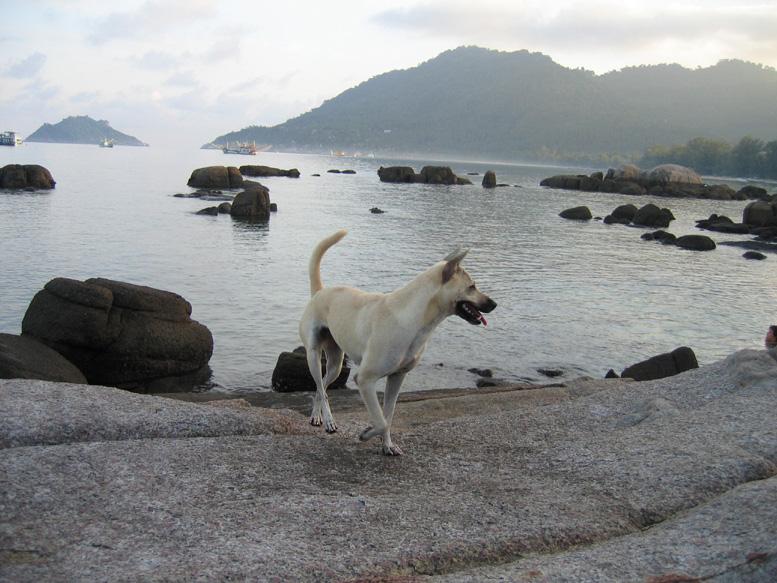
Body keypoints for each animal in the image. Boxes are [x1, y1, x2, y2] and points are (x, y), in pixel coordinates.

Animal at [298, 229, 498, 456]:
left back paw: (317, 416)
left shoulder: (397, 377)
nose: (494, 304)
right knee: (321, 387)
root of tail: (319, 291)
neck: (413, 316)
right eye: (472, 286)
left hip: (336, 364)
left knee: (321, 386)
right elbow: (381, 421)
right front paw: (366, 433)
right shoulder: (365, 379)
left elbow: (388, 415)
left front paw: (387, 446)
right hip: (313, 355)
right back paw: (328, 421)